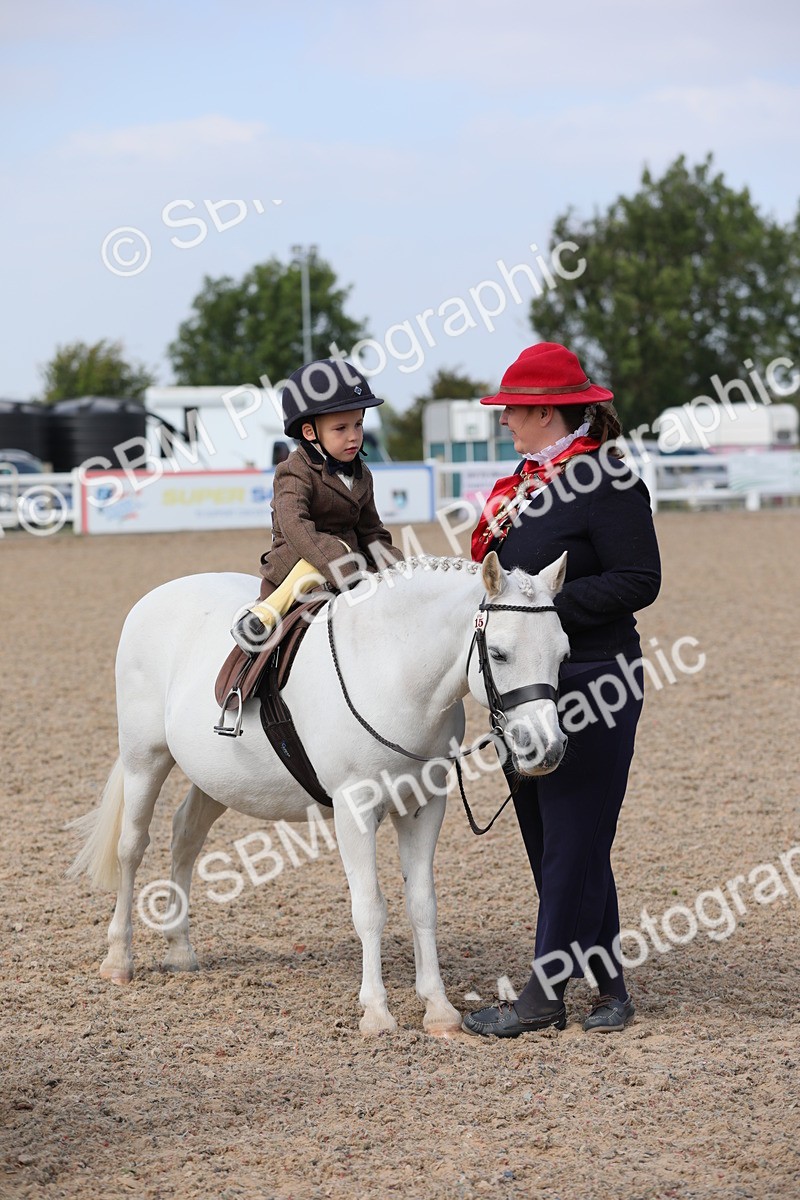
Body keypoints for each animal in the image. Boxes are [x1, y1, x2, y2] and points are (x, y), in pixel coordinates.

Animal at [68, 549, 569, 1035]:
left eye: (563, 654)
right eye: (499, 654)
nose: (546, 748)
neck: (391, 670)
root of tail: (153, 598)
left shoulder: (424, 808)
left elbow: (422, 905)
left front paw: (439, 1010)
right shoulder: (354, 810)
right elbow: (369, 908)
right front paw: (376, 1013)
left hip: (214, 779)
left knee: (185, 839)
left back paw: (179, 949)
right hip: (144, 759)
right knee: (132, 848)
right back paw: (118, 959)